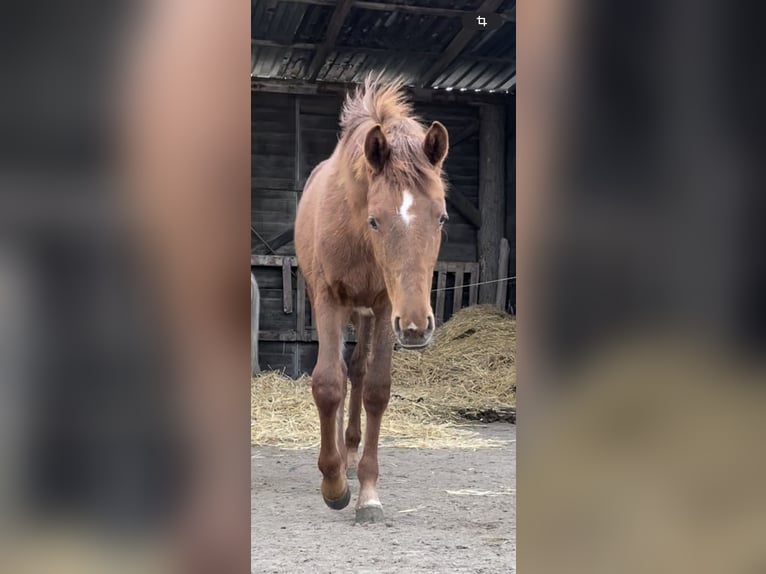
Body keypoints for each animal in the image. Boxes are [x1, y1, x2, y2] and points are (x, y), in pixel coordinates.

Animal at [294, 77, 450, 528]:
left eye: (441, 217)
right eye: (375, 219)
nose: (416, 326)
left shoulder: (383, 307)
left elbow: (376, 389)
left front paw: (367, 493)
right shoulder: (329, 299)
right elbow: (328, 383)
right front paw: (333, 485)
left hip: (366, 313)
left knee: (359, 372)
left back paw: (349, 450)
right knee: (342, 372)